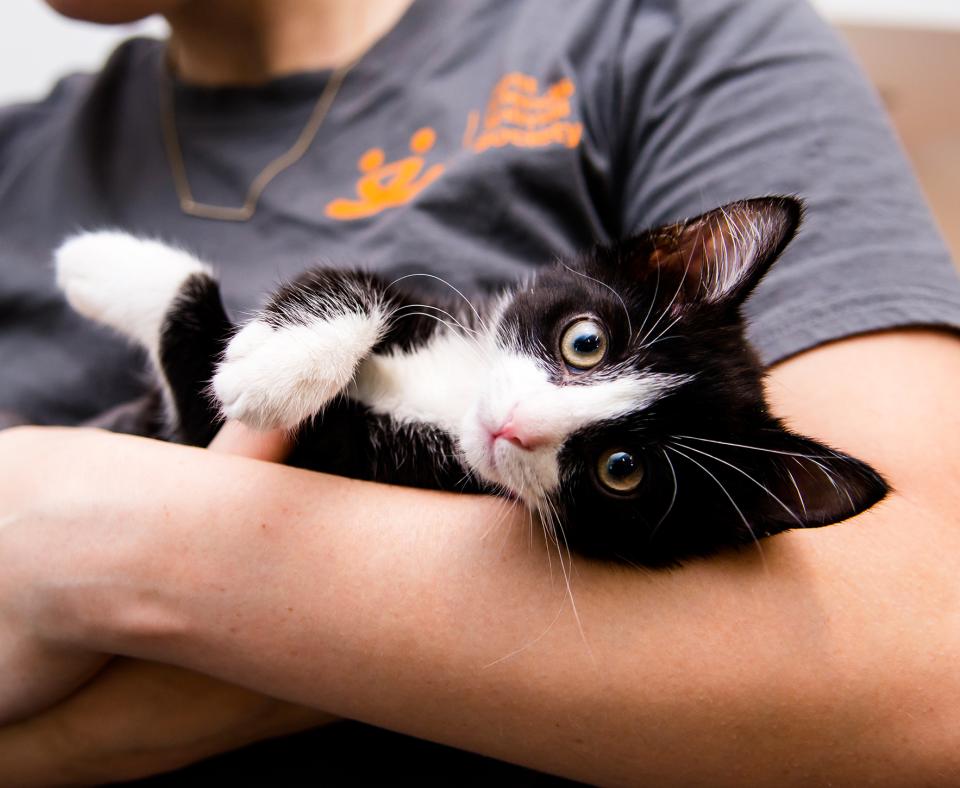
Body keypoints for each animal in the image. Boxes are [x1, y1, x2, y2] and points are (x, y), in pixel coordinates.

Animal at [58, 197, 884, 568]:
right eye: (585, 342)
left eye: (622, 470)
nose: (515, 424)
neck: (450, 404)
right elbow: (355, 283)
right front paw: (285, 357)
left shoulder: (234, 438)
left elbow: (192, 353)